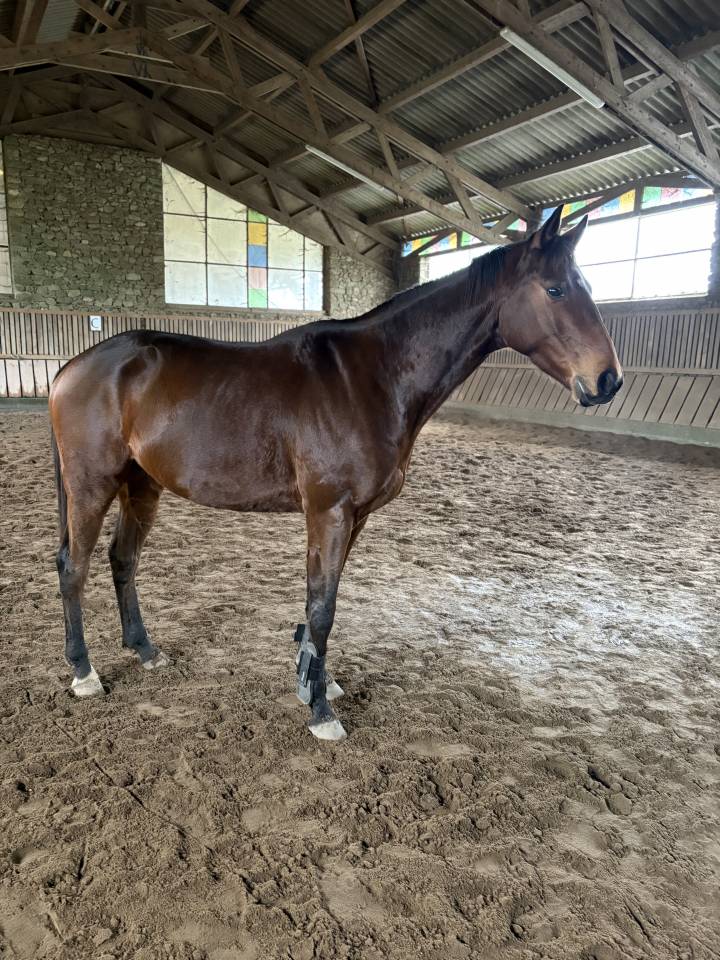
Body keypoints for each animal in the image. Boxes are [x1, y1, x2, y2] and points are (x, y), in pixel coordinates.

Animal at [49, 205, 622, 741]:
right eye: (555, 289)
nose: (608, 381)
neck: (372, 377)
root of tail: (73, 367)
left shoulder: (355, 516)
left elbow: (322, 601)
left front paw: (314, 680)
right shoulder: (329, 511)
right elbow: (322, 605)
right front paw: (321, 711)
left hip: (140, 486)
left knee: (122, 560)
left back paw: (145, 650)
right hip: (92, 485)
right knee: (74, 568)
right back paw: (84, 672)